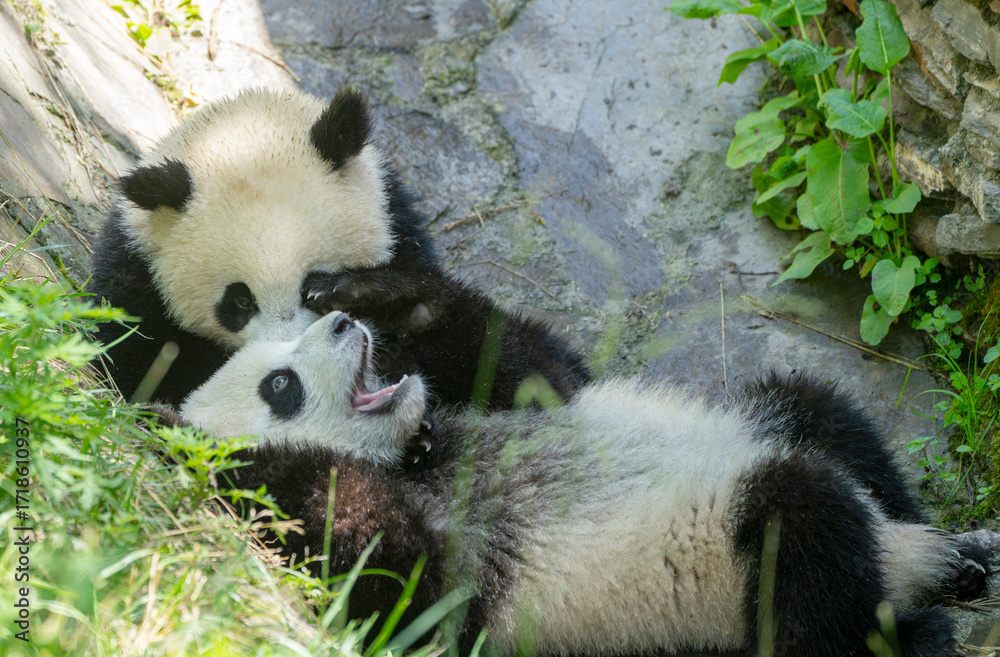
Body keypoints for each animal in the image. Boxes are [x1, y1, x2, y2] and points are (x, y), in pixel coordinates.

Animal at [88, 87, 588, 408]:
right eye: (239, 302)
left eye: (313, 280)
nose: (293, 357)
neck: (244, 126)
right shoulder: (136, 279)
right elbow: (141, 368)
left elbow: (526, 370)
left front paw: (391, 302)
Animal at [175, 311, 992, 657]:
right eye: (279, 385)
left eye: (294, 326)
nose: (345, 321)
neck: (417, 454)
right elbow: (406, 588)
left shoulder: (508, 399)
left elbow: (544, 369)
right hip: (727, 575)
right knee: (801, 534)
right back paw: (914, 624)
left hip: (770, 418)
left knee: (816, 409)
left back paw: (962, 551)